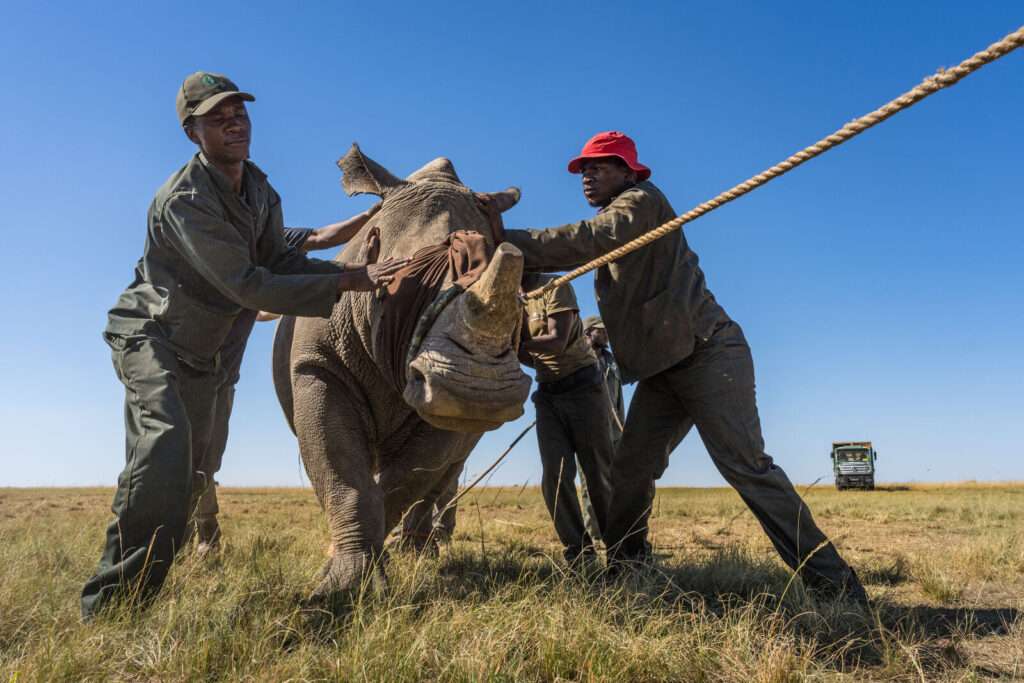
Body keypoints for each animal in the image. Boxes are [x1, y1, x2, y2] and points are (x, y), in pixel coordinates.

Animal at [273, 145, 531, 599]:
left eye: (520, 303)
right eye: (399, 288)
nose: (479, 391)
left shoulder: (447, 410)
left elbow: (405, 480)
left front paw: (367, 574)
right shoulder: (320, 365)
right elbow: (343, 472)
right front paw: (341, 586)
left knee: (442, 474)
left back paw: (417, 551)